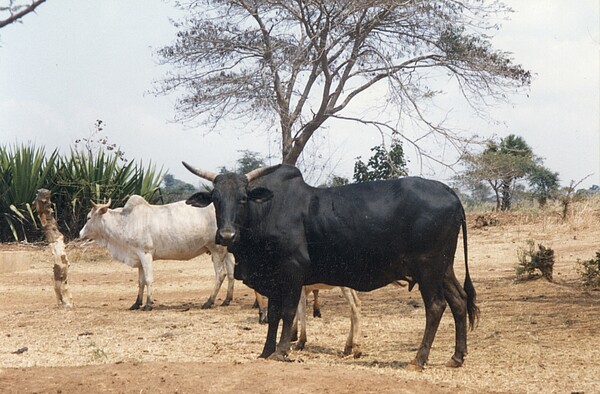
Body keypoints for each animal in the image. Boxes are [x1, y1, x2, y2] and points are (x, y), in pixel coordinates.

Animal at [77, 195, 232, 312]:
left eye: (88, 218)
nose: (80, 234)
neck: (126, 222)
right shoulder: (138, 257)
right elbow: (140, 282)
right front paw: (136, 303)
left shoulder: (145, 254)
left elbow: (148, 279)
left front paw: (148, 304)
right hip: (227, 250)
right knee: (230, 273)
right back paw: (226, 300)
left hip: (217, 249)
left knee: (221, 274)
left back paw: (209, 301)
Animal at [183, 161, 478, 370]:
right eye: (215, 200)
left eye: (243, 198)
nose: (227, 235)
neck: (266, 212)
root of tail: (448, 191)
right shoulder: (274, 278)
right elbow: (274, 315)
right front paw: (266, 351)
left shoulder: (292, 272)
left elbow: (287, 313)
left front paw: (281, 351)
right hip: (443, 268)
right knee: (459, 300)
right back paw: (457, 356)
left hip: (427, 268)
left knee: (436, 306)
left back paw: (419, 359)